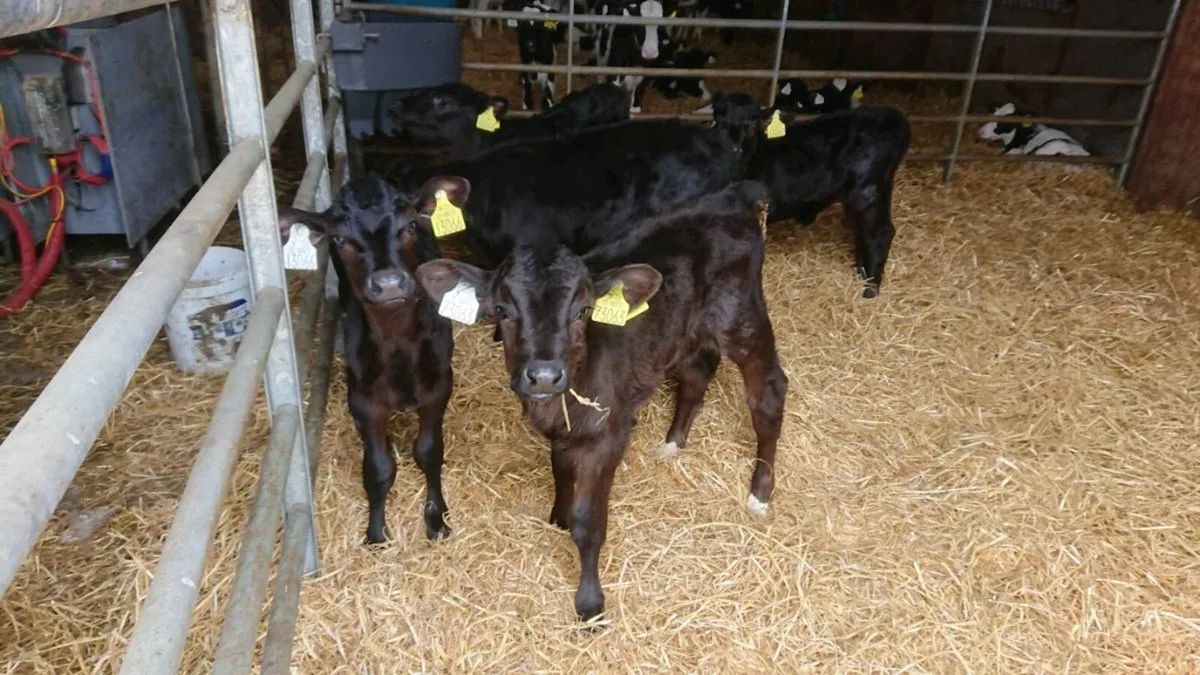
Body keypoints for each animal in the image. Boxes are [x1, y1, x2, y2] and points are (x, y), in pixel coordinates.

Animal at [277, 176, 455, 545]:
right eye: (339, 239)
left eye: (410, 226)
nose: (388, 284)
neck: (398, 343)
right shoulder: (362, 398)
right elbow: (378, 466)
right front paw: (375, 531)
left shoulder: (439, 385)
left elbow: (429, 451)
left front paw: (436, 519)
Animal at [413, 180, 788, 622]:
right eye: (502, 310)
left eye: (584, 310)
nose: (543, 374)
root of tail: (733, 195)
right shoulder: (562, 428)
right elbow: (559, 468)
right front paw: (556, 517)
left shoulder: (608, 432)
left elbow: (588, 523)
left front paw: (590, 605)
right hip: (688, 328)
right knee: (698, 372)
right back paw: (673, 442)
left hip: (742, 319)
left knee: (768, 394)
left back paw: (760, 492)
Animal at [712, 103, 910, 298]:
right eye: (721, 121)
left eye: (751, 123)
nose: (735, 149)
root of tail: (894, 116)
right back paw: (861, 273)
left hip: (868, 192)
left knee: (880, 234)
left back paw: (870, 289)